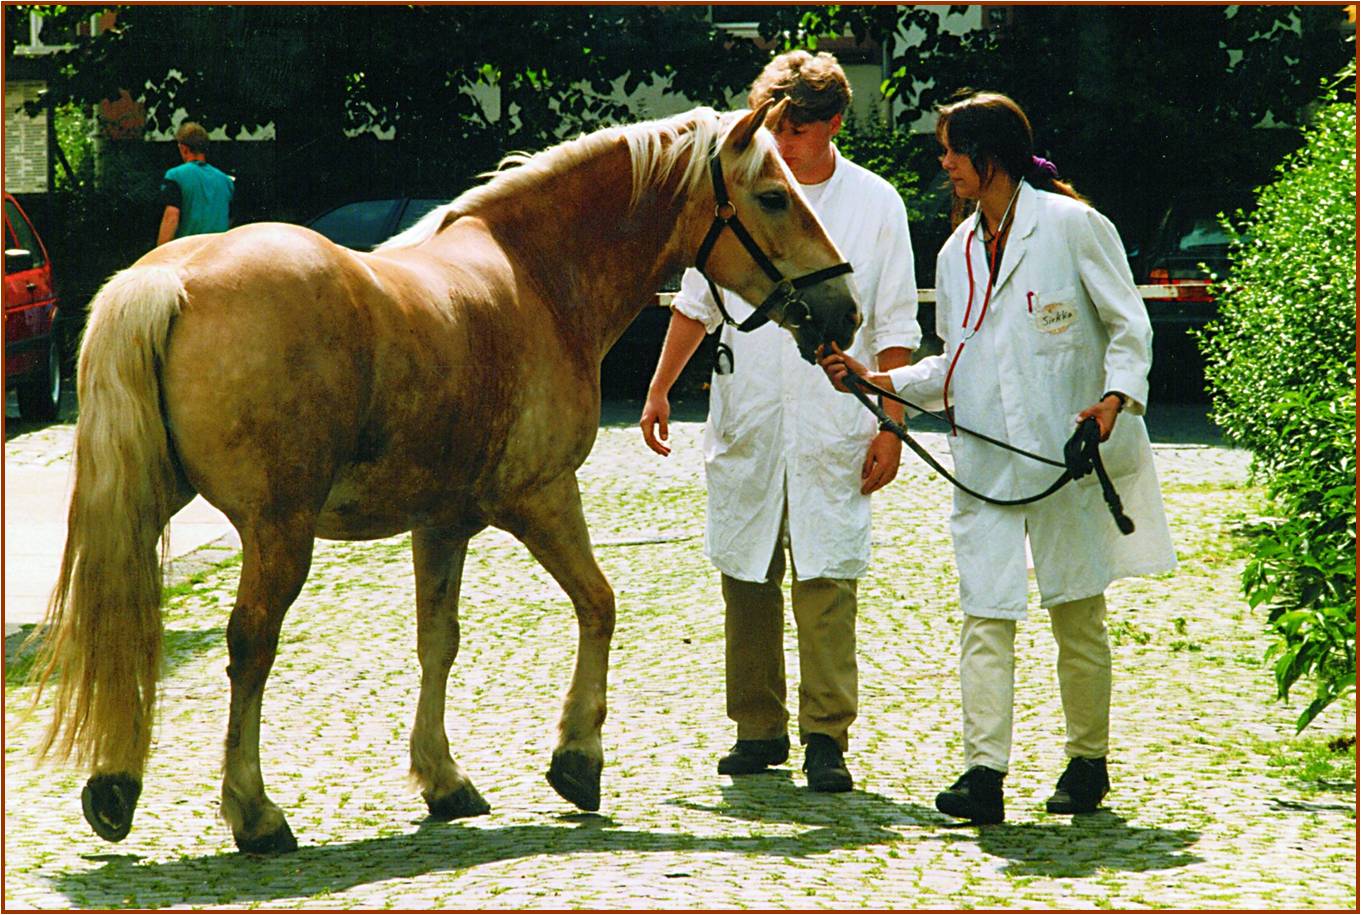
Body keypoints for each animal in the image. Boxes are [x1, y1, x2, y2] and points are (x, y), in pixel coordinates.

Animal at [30, 99, 861, 853]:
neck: (537, 273)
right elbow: (599, 604)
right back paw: (255, 813)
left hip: (150, 506)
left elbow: (439, 641)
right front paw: (576, 759)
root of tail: (172, 278)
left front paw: (443, 779)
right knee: (249, 645)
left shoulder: (440, 522)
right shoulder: (541, 496)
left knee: (123, 622)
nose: (844, 309)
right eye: (773, 196)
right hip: (279, 531)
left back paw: (114, 787)